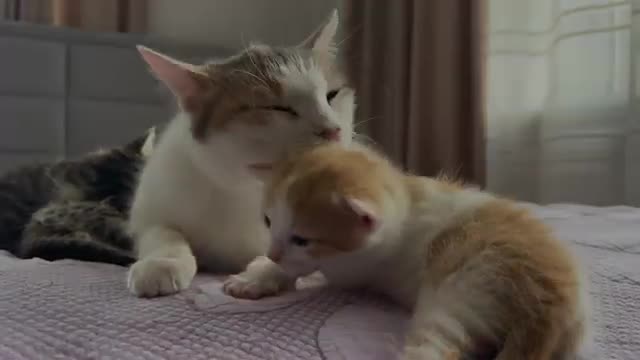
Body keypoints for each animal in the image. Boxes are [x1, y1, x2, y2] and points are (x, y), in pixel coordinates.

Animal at [224, 144, 592, 360]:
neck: (405, 200)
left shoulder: (355, 268)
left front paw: (265, 270)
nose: (273, 251)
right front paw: (258, 273)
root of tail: (550, 303)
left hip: (465, 283)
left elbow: (306, 267)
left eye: (301, 238)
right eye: (267, 220)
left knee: (439, 346)